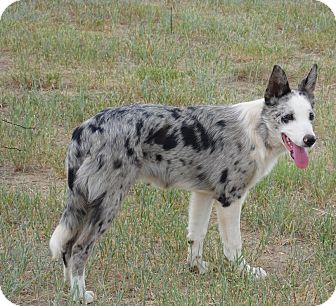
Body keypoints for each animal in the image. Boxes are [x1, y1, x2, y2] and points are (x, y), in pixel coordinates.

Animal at [50, 64, 318, 304]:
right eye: (287, 117)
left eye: (311, 116)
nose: (310, 139)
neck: (257, 130)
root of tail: (84, 129)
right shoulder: (230, 199)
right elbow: (233, 245)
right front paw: (245, 272)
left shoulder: (202, 194)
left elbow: (196, 236)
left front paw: (196, 268)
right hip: (107, 203)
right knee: (79, 248)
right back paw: (79, 295)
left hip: (86, 202)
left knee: (67, 246)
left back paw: (69, 287)